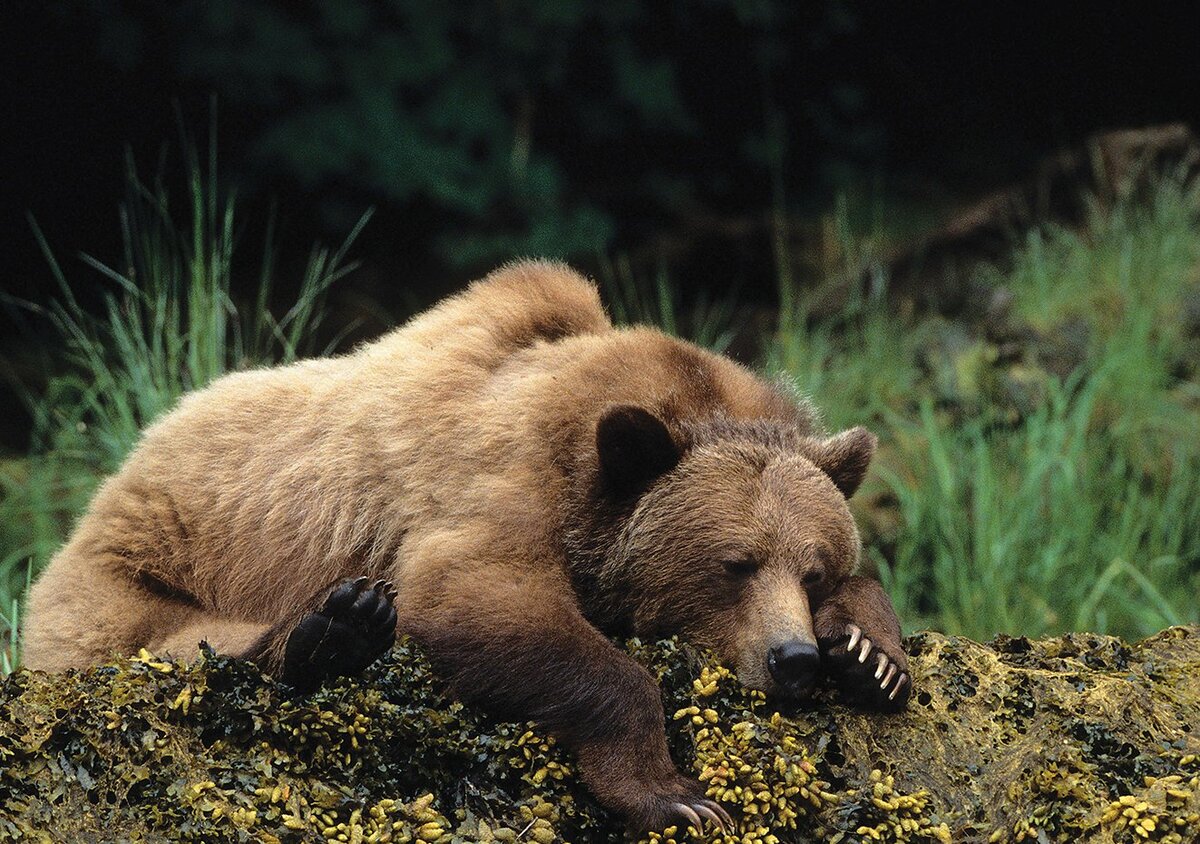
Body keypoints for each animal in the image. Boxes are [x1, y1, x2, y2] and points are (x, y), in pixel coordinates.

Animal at [23, 262, 907, 830]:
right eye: (734, 565)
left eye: (814, 568)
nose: (793, 660)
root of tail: (119, 470)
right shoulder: (502, 480)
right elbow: (473, 596)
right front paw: (679, 794)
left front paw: (871, 655)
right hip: (121, 581)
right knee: (183, 646)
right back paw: (334, 628)